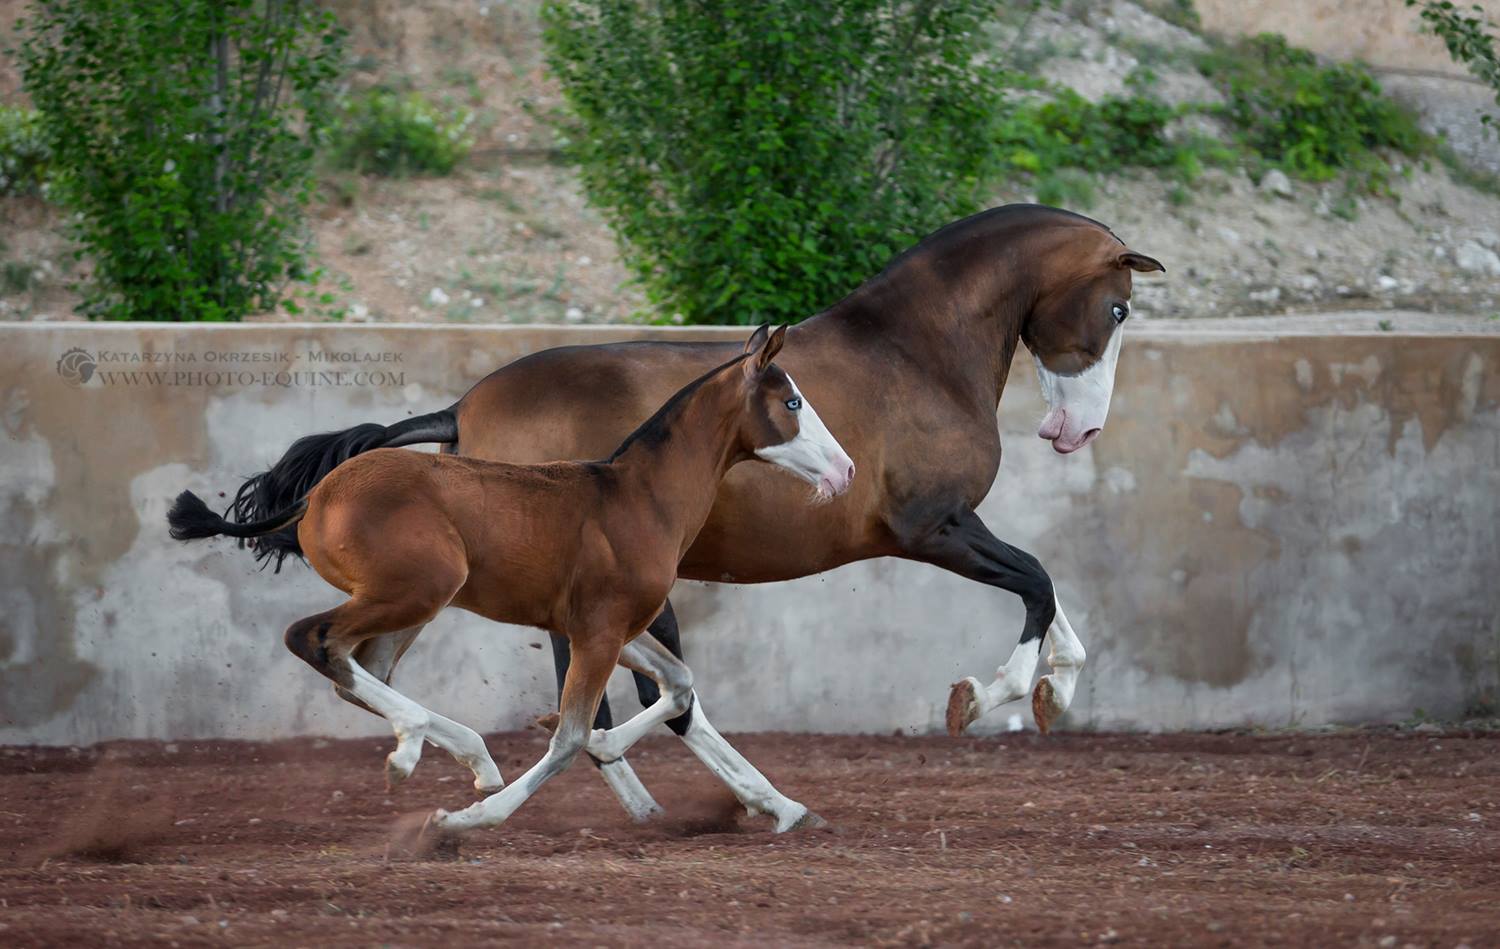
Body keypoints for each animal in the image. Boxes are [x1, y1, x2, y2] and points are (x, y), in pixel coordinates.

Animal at [168, 326, 852, 833]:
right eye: (793, 403)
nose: (845, 471)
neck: (639, 497)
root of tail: (316, 496)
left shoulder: (609, 627)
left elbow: (679, 686)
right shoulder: (599, 633)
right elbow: (573, 735)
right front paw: (463, 822)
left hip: (410, 604)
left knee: (359, 669)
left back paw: (467, 756)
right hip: (414, 591)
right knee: (314, 640)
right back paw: (419, 750)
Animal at [228, 202, 1164, 821]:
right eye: (1116, 308)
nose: (1077, 430)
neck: (916, 352)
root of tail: (461, 409)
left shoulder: (950, 528)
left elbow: (1050, 590)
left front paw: (1054, 692)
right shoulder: (930, 526)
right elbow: (1036, 582)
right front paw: (984, 695)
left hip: (464, 578)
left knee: (396, 663)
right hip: (554, 588)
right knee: (632, 702)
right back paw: (705, 800)